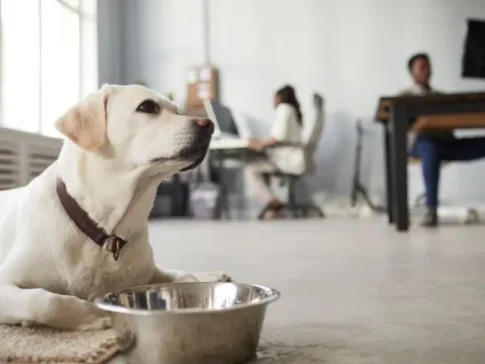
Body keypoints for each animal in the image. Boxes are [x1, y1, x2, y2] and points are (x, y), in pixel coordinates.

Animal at [0, 84, 230, 330]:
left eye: (177, 111)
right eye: (147, 106)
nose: (209, 125)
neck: (105, 231)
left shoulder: (148, 273)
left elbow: (184, 278)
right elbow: (45, 301)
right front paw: (93, 314)